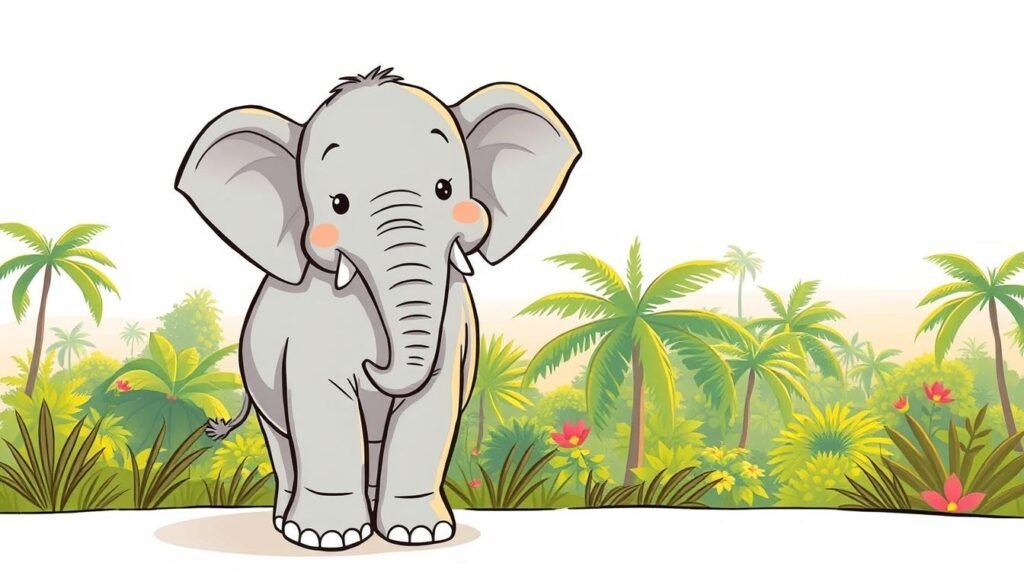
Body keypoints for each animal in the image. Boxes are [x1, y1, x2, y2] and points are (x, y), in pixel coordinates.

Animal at [174, 66, 580, 550]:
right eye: (339, 203)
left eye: (444, 189)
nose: (374, 365)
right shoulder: (309, 333)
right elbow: (324, 403)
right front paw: (327, 539)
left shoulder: (451, 322)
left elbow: (429, 404)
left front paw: (419, 534)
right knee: (283, 441)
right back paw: (286, 524)